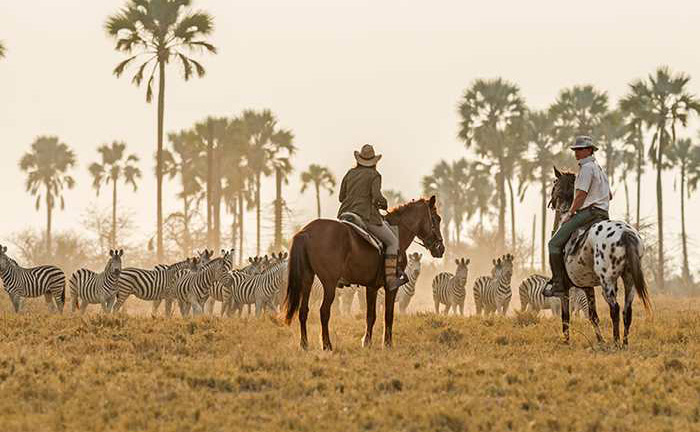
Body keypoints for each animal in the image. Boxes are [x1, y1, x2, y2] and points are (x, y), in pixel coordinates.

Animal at [284, 196, 442, 352]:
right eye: (436, 219)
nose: (441, 248)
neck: (398, 232)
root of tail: (306, 231)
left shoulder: (372, 287)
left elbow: (370, 315)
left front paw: (367, 342)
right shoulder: (391, 287)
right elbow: (388, 314)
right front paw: (387, 344)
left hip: (307, 280)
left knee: (303, 311)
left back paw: (304, 344)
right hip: (329, 284)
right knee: (324, 311)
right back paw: (327, 345)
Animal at [552, 167, 652, 346]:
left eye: (554, 183)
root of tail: (625, 234)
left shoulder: (567, 289)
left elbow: (566, 317)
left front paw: (567, 340)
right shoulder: (587, 286)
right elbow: (593, 316)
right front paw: (600, 340)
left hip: (607, 282)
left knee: (615, 308)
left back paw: (616, 342)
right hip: (629, 279)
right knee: (627, 311)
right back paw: (624, 343)